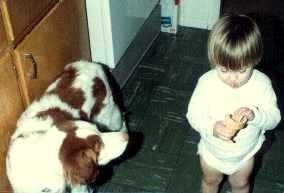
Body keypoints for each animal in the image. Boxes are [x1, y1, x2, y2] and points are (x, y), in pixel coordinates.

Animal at [5, 60, 129, 193]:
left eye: (98, 131)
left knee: (122, 120)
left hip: (110, 117)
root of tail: (92, 62)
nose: (126, 137)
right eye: (98, 147)